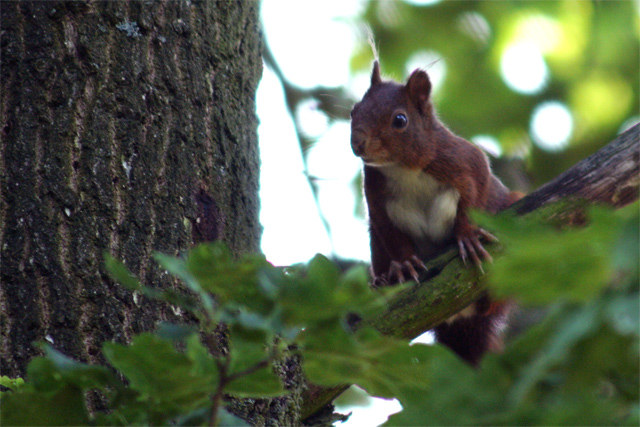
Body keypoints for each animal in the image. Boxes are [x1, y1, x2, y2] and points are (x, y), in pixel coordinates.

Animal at [350, 61, 524, 366]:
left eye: (400, 120)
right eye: (353, 111)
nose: (357, 143)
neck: (402, 168)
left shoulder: (462, 159)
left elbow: (475, 192)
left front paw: (468, 237)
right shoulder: (374, 198)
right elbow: (390, 233)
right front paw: (404, 264)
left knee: (492, 306)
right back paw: (379, 281)